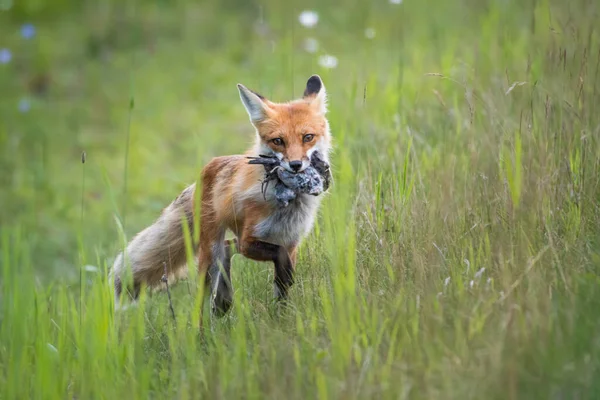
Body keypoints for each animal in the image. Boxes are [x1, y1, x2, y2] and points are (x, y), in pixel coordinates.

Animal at [111, 75, 332, 318]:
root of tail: (207, 170)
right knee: (201, 297)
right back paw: (203, 323)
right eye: (278, 141)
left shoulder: (292, 241)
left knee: (228, 247)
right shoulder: (249, 240)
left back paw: (223, 301)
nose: (295, 165)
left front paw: (283, 317)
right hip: (209, 254)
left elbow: (283, 286)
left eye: (308, 137)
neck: (287, 205)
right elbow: (279, 256)